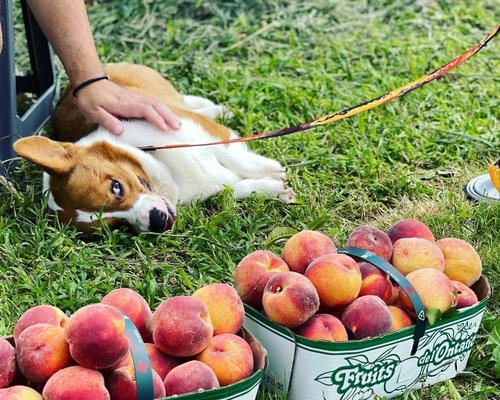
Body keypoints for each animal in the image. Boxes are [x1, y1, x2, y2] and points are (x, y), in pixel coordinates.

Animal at [13, 62, 294, 231]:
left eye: (116, 187)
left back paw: (217, 109)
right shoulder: (215, 189)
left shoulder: (202, 132)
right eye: (116, 225)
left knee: (187, 101)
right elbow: (236, 190)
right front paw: (275, 189)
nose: (158, 222)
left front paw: (270, 170)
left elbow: (235, 155)